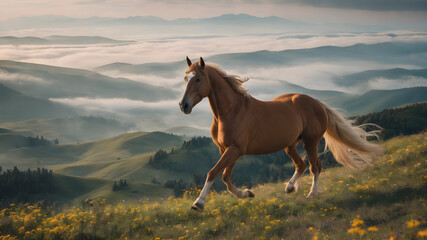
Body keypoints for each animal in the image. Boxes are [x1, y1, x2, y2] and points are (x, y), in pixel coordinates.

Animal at [179, 57, 382, 211]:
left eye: (198, 79)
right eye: (185, 78)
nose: (183, 106)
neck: (230, 112)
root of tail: (317, 102)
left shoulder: (235, 150)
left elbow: (213, 173)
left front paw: (198, 203)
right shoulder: (226, 150)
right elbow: (225, 177)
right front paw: (247, 193)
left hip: (310, 142)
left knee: (315, 166)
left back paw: (311, 194)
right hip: (290, 145)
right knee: (301, 165)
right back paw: (290, 187)